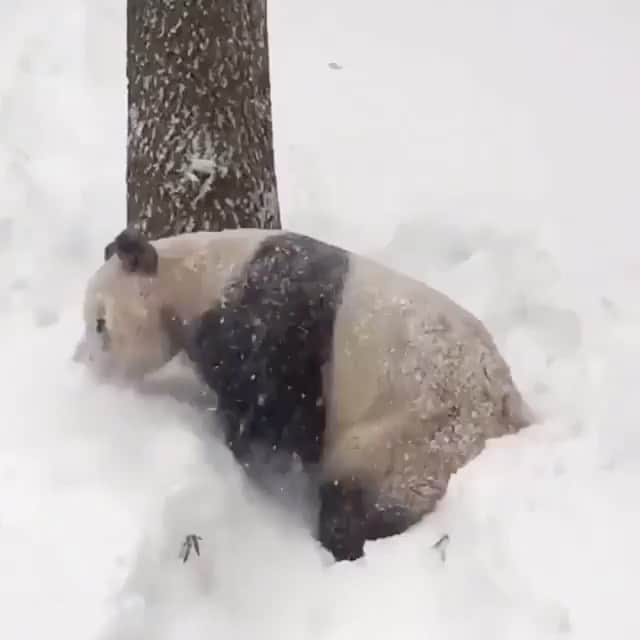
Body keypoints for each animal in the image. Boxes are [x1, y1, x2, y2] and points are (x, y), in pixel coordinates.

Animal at [75, 226, 532, 560]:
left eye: (100, 323)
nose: (88, 369)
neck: (198, 275)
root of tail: (510, 419)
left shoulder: (270, 326)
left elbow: (272, 411)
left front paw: (240, 454)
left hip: (416, 439)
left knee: (363, 495)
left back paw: (343, 543)